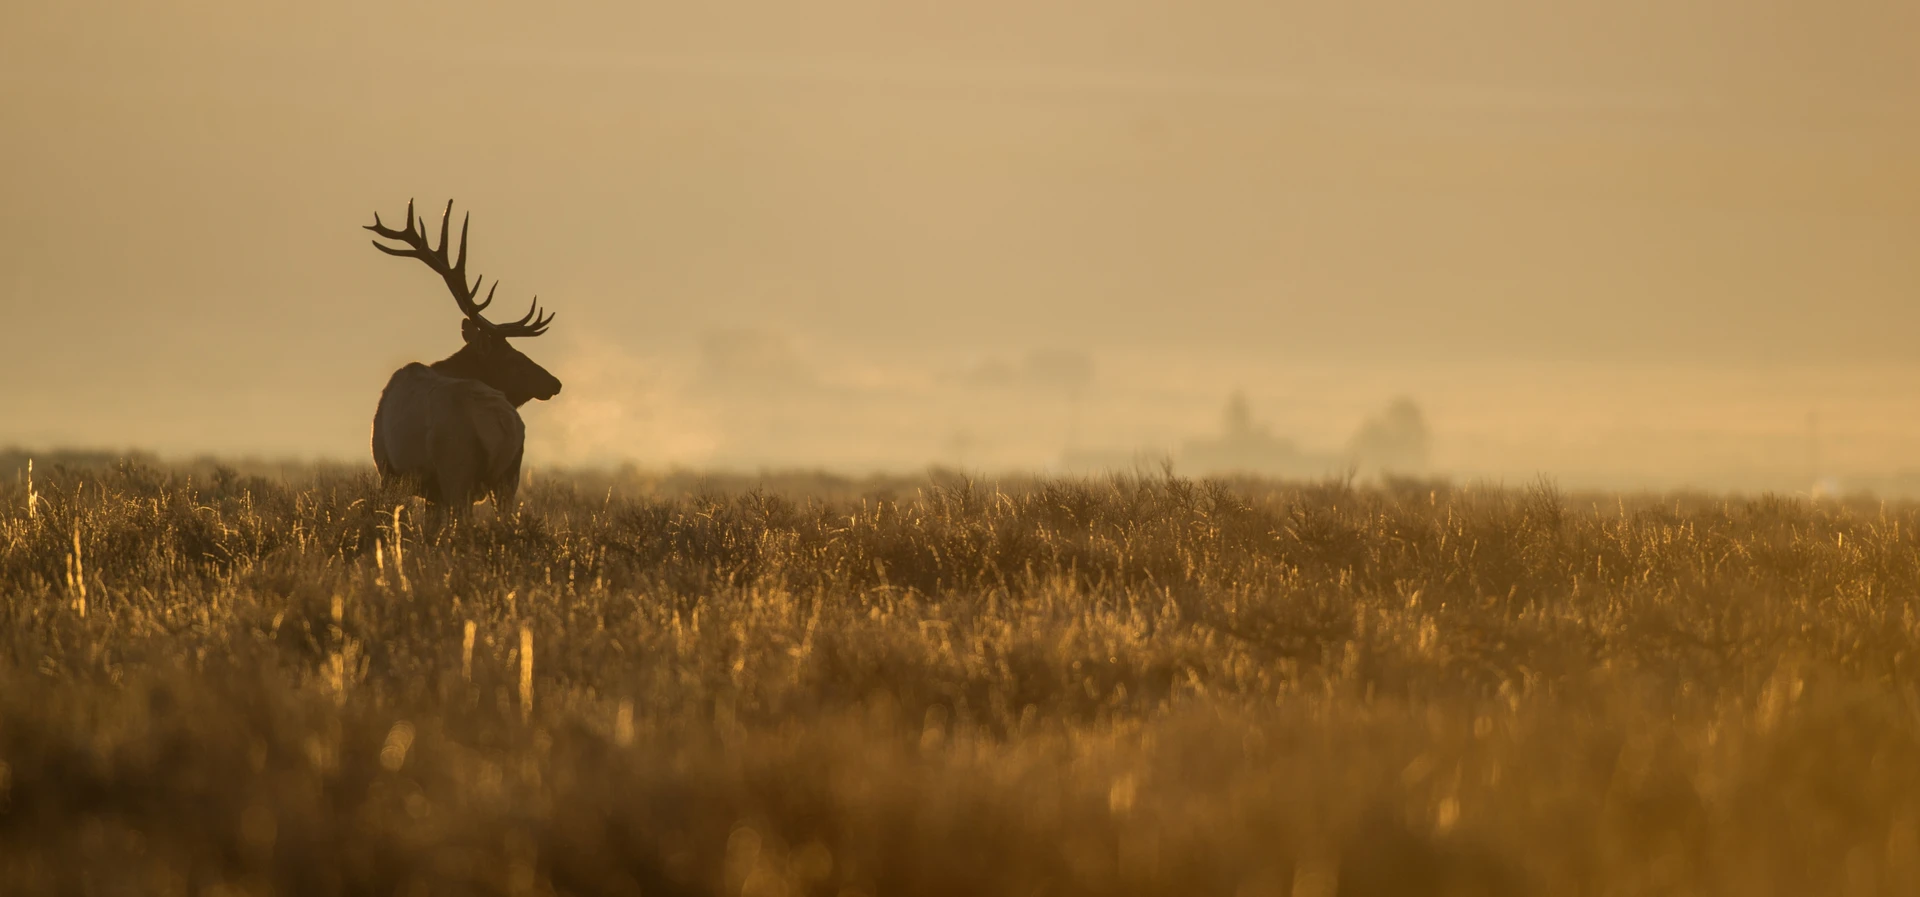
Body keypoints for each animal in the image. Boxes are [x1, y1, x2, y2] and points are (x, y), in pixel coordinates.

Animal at [365, 199, 561, 518]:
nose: (554, 383)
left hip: (456, 468)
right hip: (509, 477)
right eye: (513, 358)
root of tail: (504, 423)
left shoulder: (388, 469)